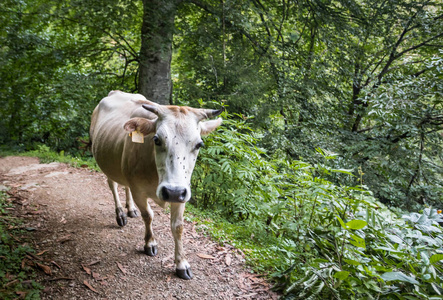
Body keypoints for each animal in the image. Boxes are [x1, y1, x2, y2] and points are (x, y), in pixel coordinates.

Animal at [90, 91, 224, 278]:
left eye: (199, 144)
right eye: (156, 139)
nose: (172, 192)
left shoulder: (182, 192)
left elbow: (178, 226)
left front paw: (181, 263)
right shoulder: (139, 191)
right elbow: (148, 215)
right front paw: (150, 243)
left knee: (125, 186)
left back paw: (130, 209)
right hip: (106, 164)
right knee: (113, 185)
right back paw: (121, 214)